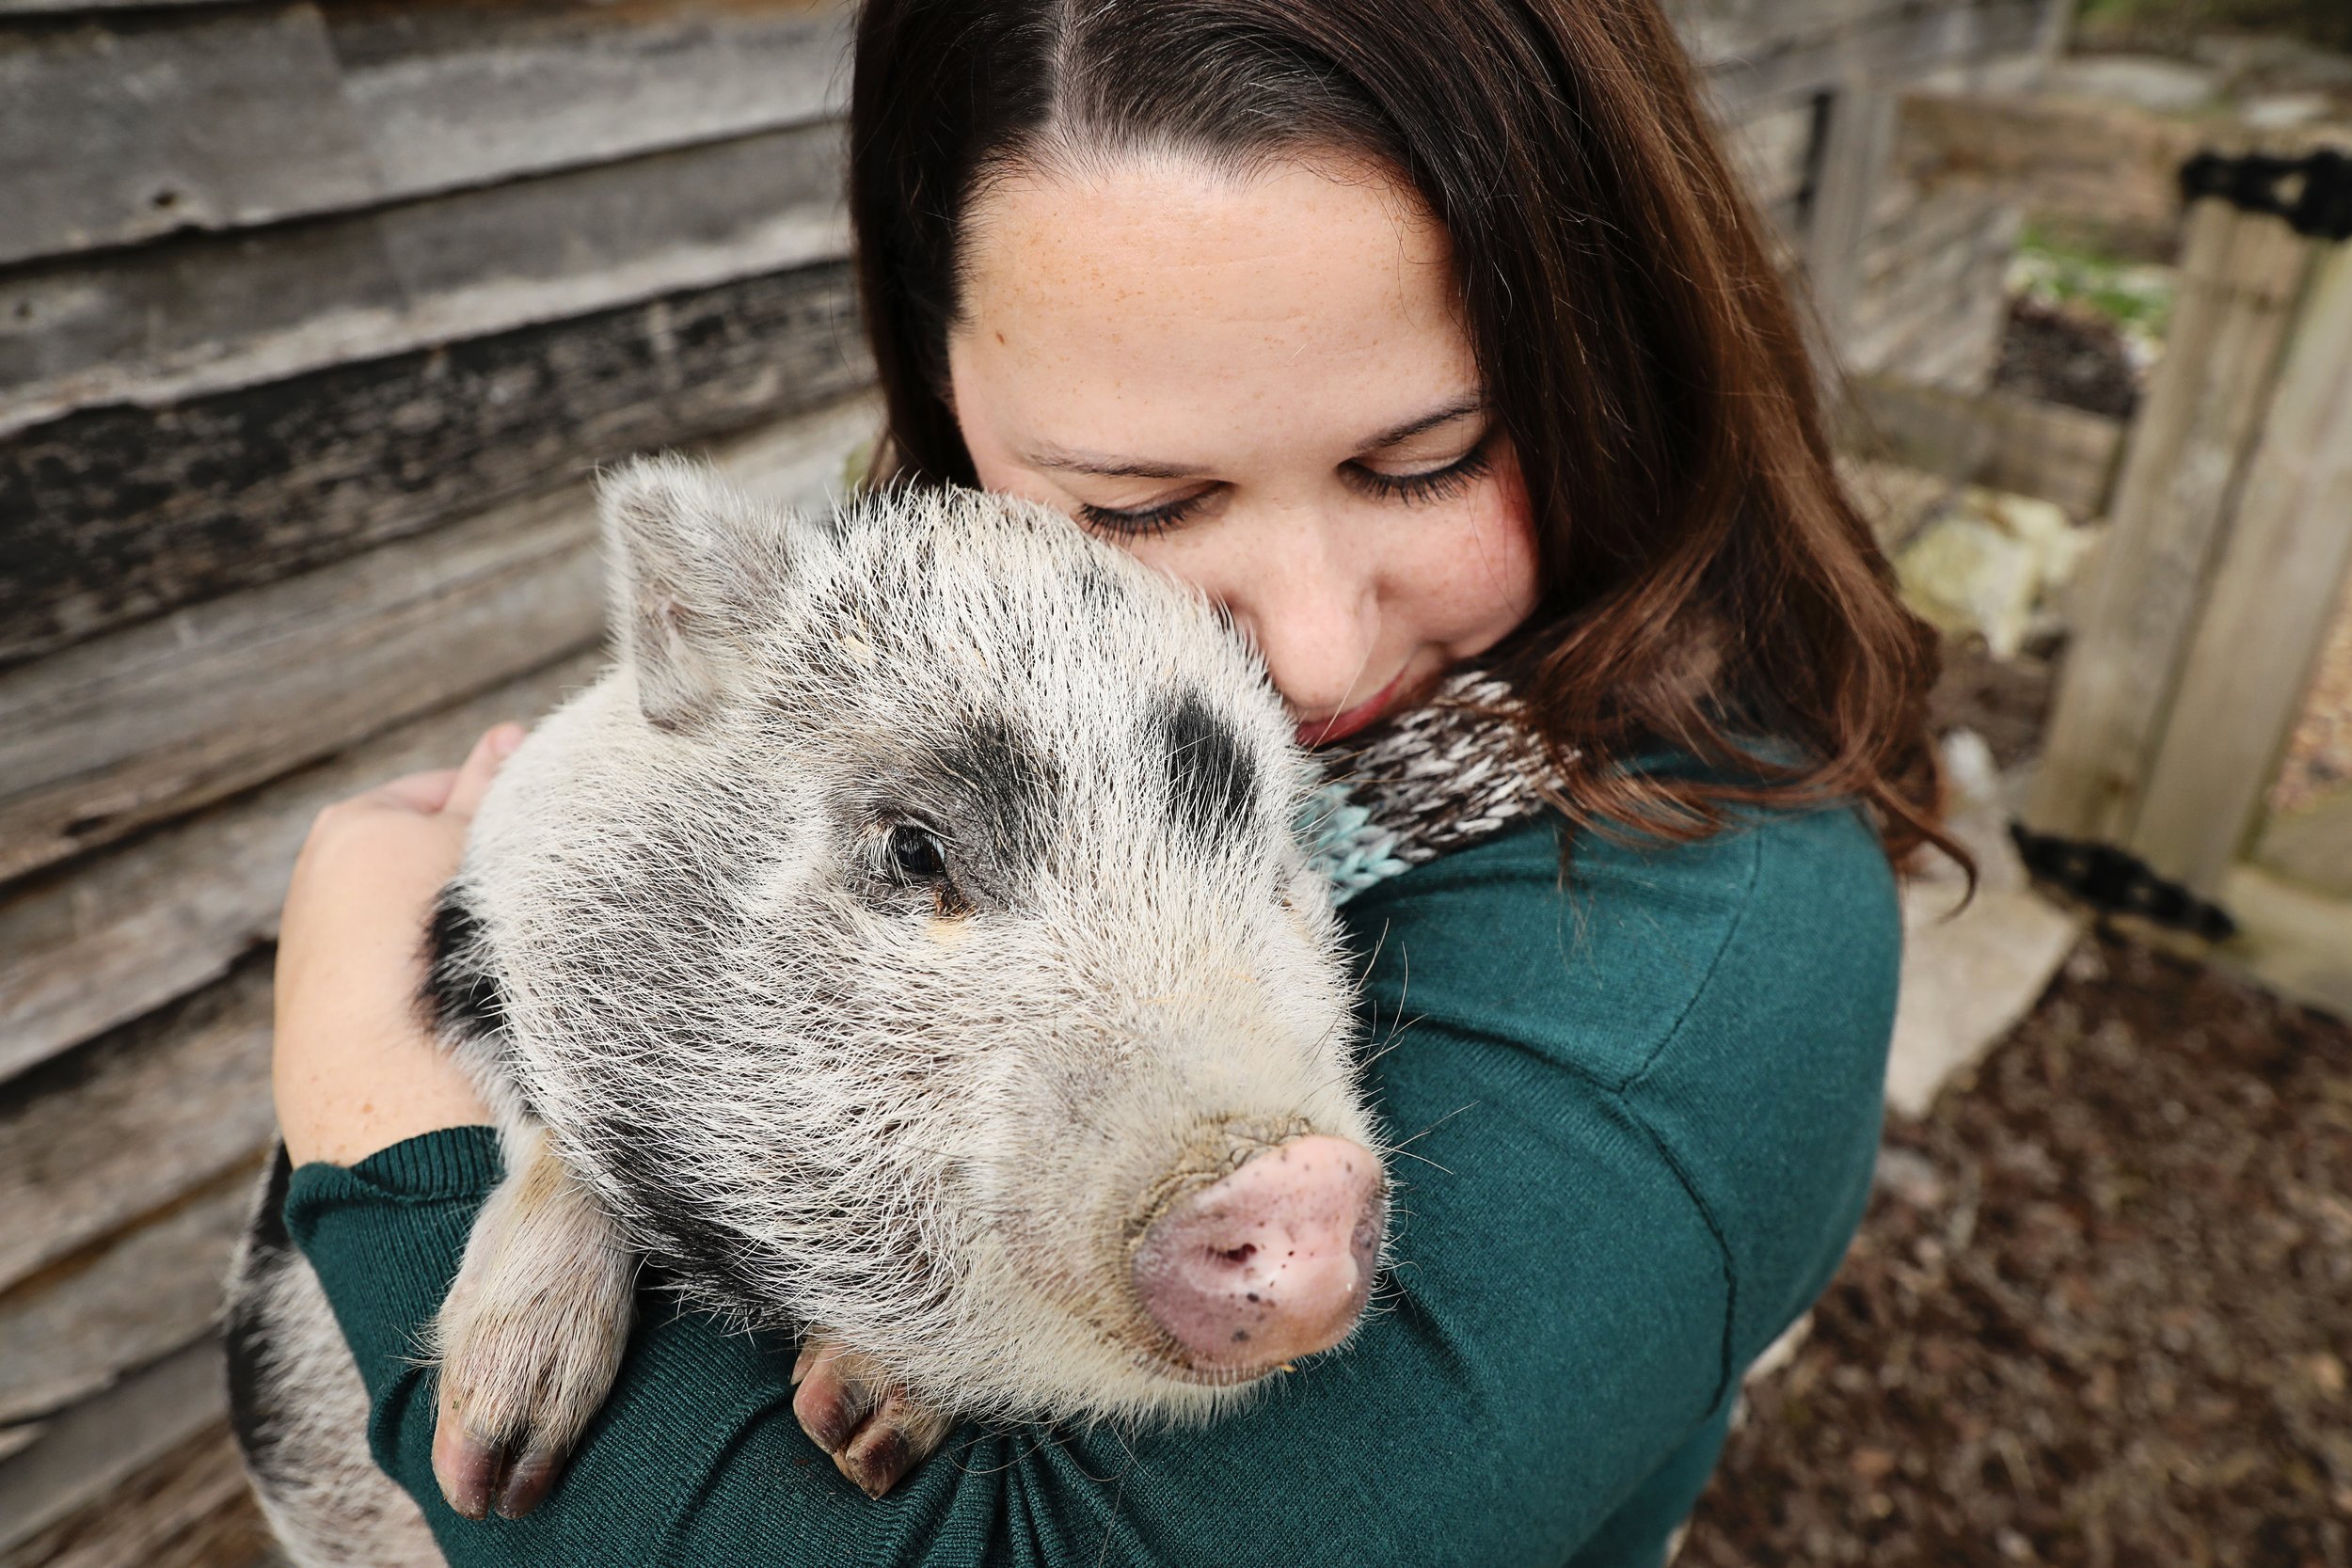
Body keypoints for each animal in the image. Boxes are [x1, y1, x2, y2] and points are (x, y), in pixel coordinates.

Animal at [226, 459, 1392, 1567]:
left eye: (1276, 869)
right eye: (914, 848)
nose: (1296, 1177)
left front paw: (854, 1429)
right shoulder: (472, 924)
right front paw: (490, 1469)